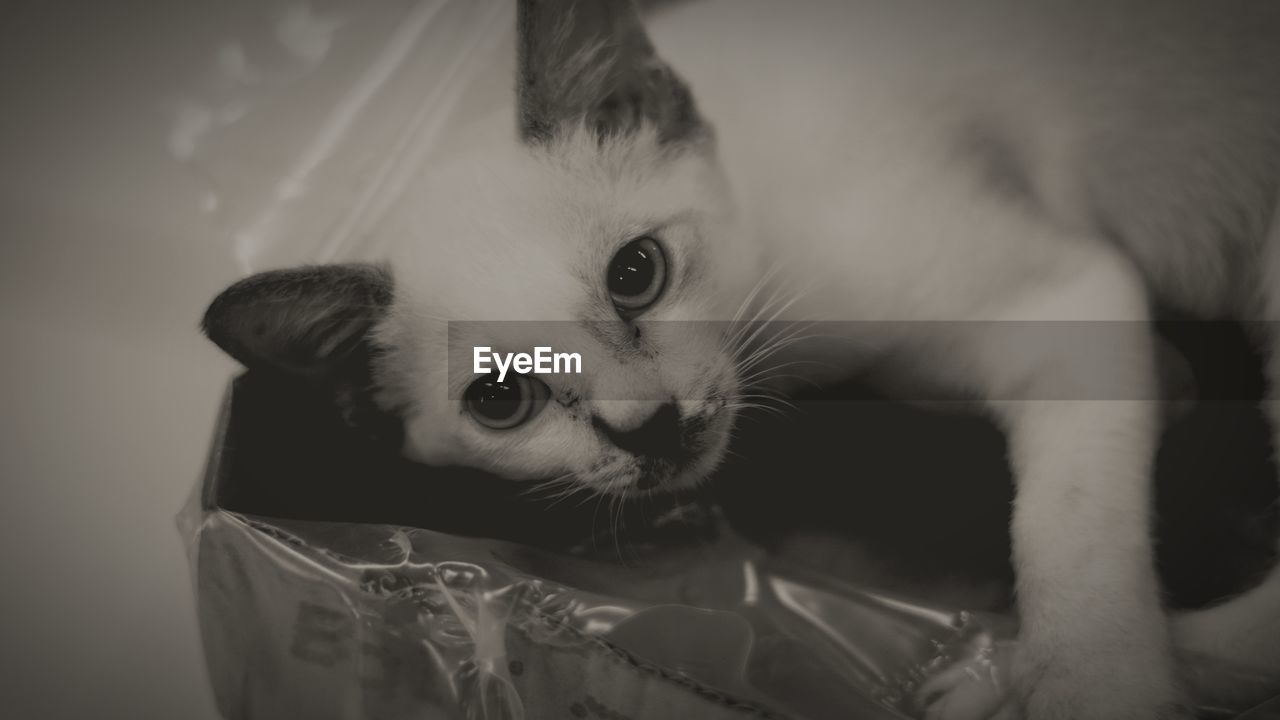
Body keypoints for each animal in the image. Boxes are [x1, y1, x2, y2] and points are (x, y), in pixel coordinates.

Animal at [202, 1, 1280, 717]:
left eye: (636, 273)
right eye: (501, 403)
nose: (648, 428)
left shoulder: (1068, 302)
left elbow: (1073, 547)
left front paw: (1091, 688)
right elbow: (1127, 426)